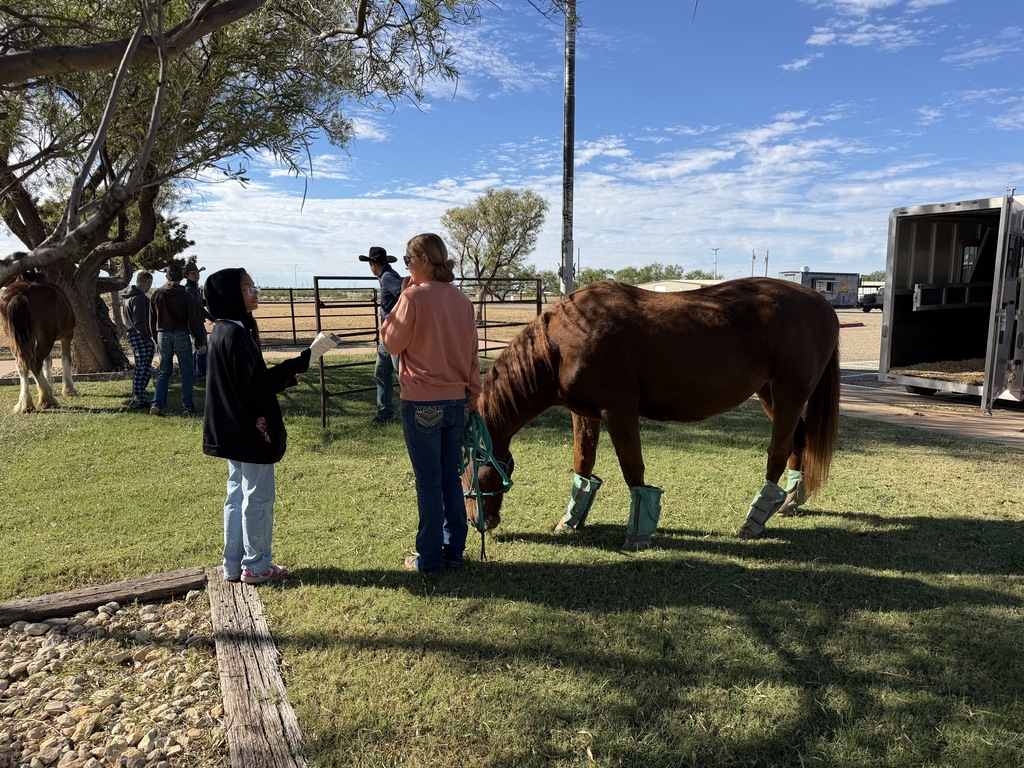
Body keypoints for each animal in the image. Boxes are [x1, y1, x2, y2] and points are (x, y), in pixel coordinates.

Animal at [0, 273, 78, 414]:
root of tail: (20, 293)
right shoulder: (67, 336)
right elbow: (65, 359)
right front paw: (69, 389)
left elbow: (47, 363)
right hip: (46, 338)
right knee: (35, 363)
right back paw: (48, 399)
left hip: (18, 339)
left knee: (23, 365)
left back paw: (26, 403)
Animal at [464, 277, 841, 549]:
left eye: (469, 469)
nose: (477, 522)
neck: (564, 340)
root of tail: (821, 303)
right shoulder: (585, 413)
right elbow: (583, 463)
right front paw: (570, 520)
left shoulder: (618, 410)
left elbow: (633, 470)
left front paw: (638, 534)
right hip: (769, 393)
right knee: (798, 440)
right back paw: (788, 502)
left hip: (789, 392)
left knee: (778, 450)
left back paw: (754, 520)